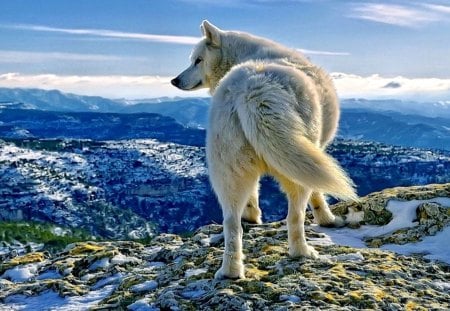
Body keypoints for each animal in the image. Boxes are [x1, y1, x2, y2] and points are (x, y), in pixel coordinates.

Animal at [171, 21, 356, 280]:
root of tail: (252, 89)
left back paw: (230, 271)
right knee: (294, 216)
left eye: (198, 60)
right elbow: (318, 194)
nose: (174, 80)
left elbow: (254, 195)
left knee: (231, 223)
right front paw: (328, 220)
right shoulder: (314, 152)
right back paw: (302, 252)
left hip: (229, 170)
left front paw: (252, 216)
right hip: (294, 167)